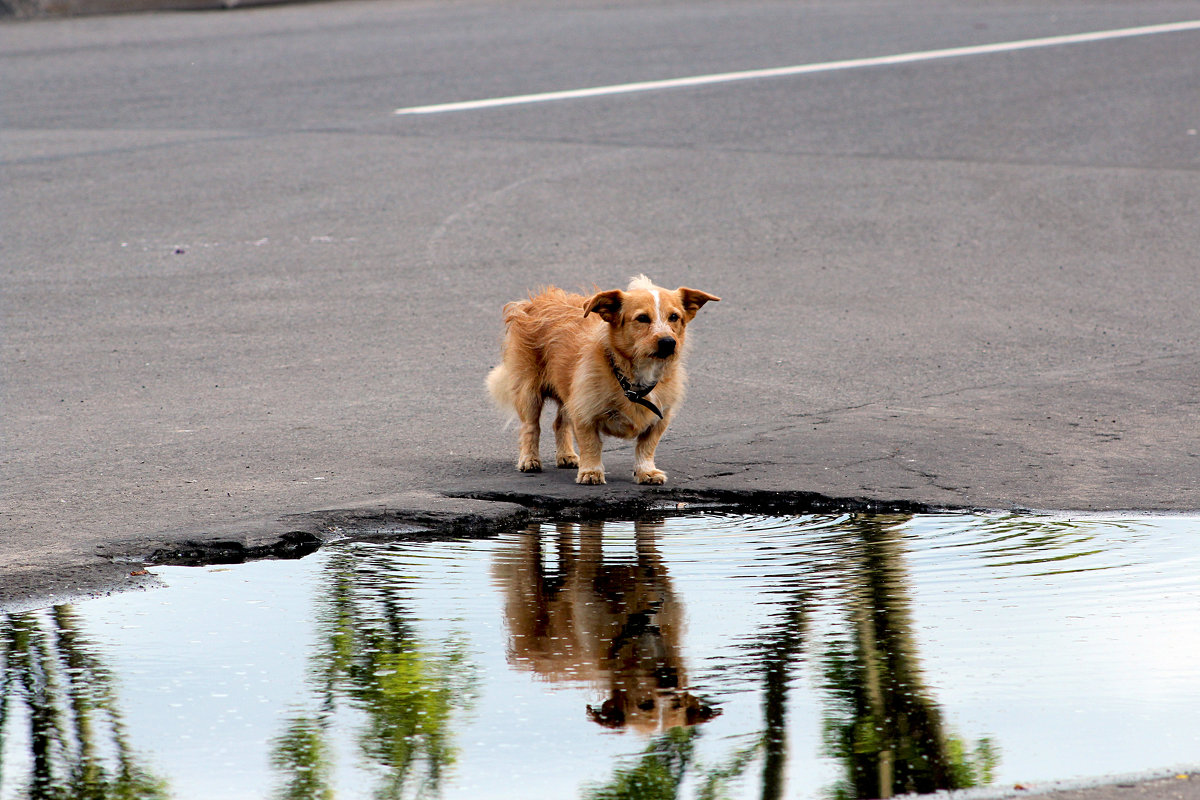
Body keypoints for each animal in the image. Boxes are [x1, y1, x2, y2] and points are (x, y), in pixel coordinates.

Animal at [484, 275, 715, 484]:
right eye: (642, 318)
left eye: (674, 317)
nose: (668, 342)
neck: (631, 377)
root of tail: (537, 300)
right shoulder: (585, 413)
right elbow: (591, 445)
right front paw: (591, 472)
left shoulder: (660, 418)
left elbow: (646, 447)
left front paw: (646, 472)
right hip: (529, 392)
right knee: (530, 427)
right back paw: (529, 459)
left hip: (569, 392)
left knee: (560, 423)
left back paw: (566, 455)